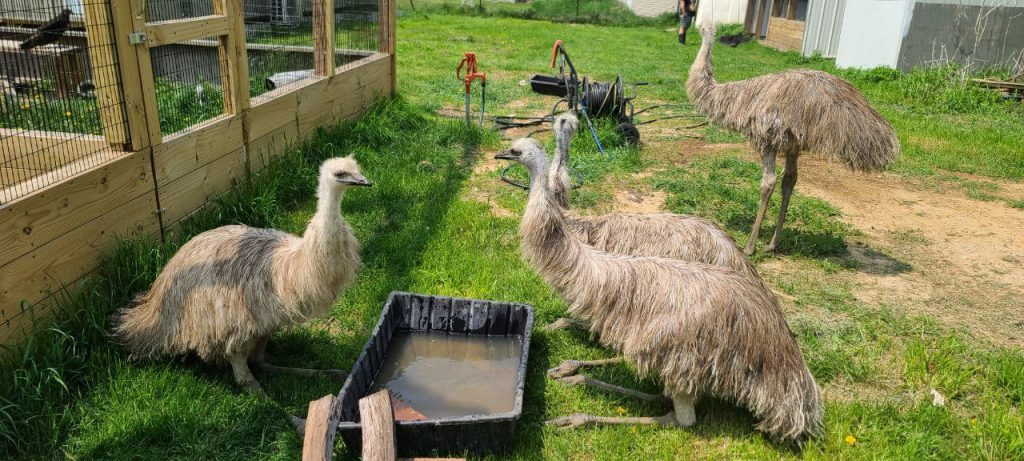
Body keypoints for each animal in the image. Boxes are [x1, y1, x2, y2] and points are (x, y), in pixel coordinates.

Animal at [115, 156, 371, 393]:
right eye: (340, 173)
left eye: (357, 169)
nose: (365, 182)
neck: (292, 266)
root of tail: (152, 308)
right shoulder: (236, 323)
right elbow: (245, 377)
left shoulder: (267, 321)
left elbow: (261, 363)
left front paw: (332, 373)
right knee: (246, 371)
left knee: (261, 362)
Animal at [496, 138, 822, 443]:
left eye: (516, 151)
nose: (500, 154)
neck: (590, 265)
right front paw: (571, 372)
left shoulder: (655, 347)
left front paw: (573, 416)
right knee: (661, 398)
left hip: (688, 361)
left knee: (678, 420)